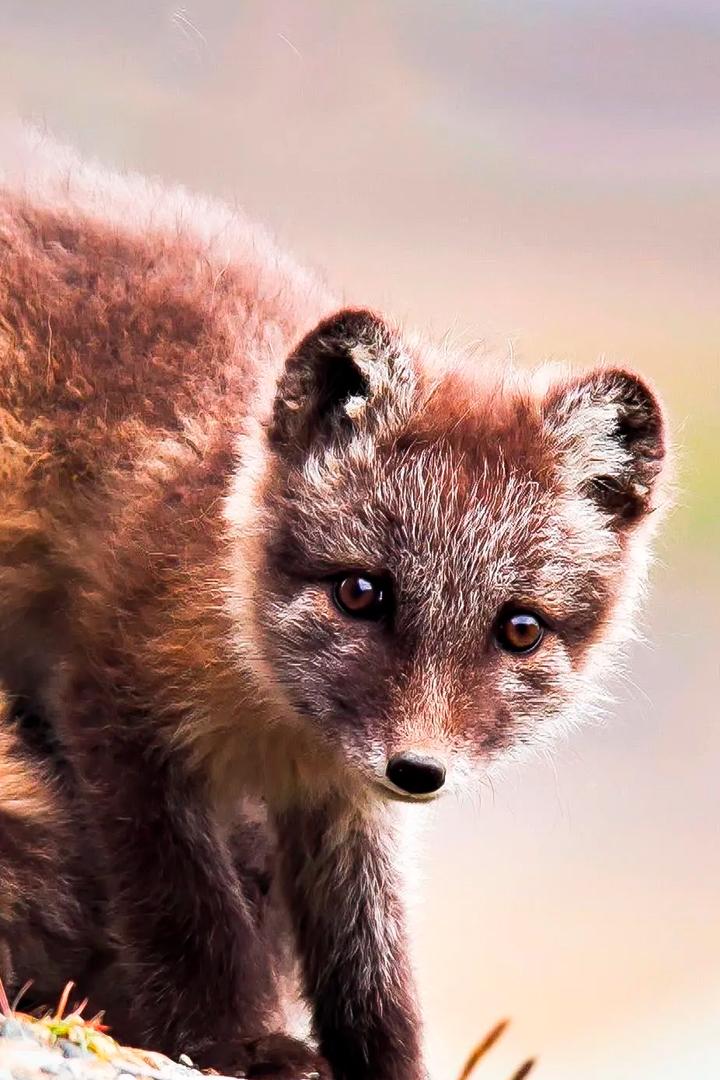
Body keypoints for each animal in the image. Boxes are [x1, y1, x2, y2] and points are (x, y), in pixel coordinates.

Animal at [0, 126, 668, 1080]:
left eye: (520, 629)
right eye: (361, 591)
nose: (419, 770)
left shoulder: (344, 802)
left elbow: (370, 961)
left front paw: (384, 1063)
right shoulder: (116, 708)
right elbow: (189, 915)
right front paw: (238, 1043)